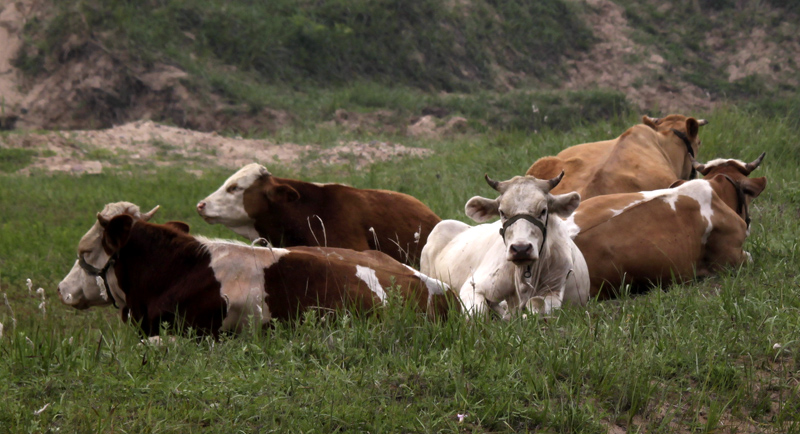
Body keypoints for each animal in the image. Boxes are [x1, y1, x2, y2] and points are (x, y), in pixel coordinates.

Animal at [422, 171, 592, 318]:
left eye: (543, 211)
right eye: (502, 212)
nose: (521, 249)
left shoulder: (555, 289)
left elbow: (536, 304)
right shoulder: (474, 285)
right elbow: (477, 314)